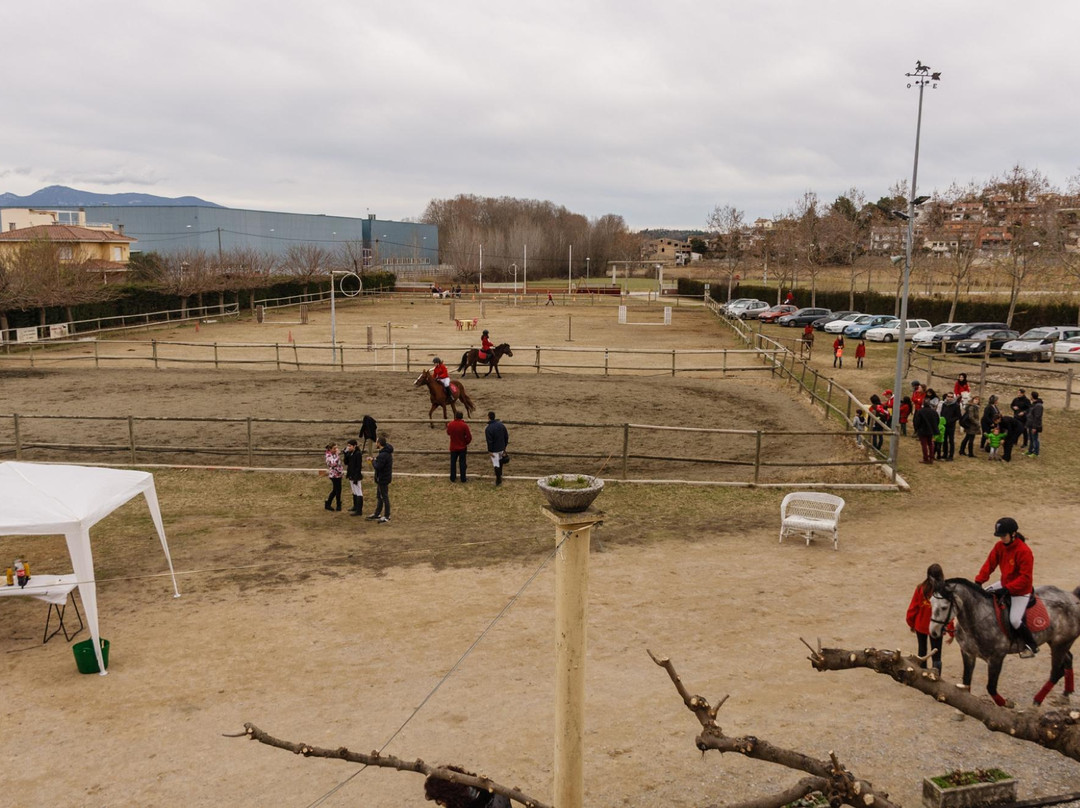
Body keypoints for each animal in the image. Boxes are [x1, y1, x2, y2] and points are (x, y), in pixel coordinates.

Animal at [928, 578, 1080, 704]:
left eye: (944, 607)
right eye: (931, 603)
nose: (933, 632)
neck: (979, 617)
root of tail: (1073, 598)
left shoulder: (996, 658)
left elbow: (991, 687)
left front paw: (1006, 704)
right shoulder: (967, 653)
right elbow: (966, 681)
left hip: (1060, 644)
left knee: (1056, 672)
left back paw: (1037, 701)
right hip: (1056, 643)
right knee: (1068, 660)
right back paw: (1065, 694)